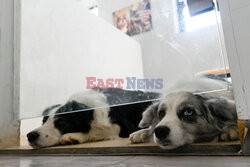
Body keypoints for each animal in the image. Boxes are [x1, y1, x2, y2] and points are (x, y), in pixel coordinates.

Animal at [26, 88, 161, 148]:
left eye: (62, 122)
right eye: (43, 121)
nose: (30, 135)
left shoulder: (125, 125)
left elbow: (97, 130)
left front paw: (74, 136)